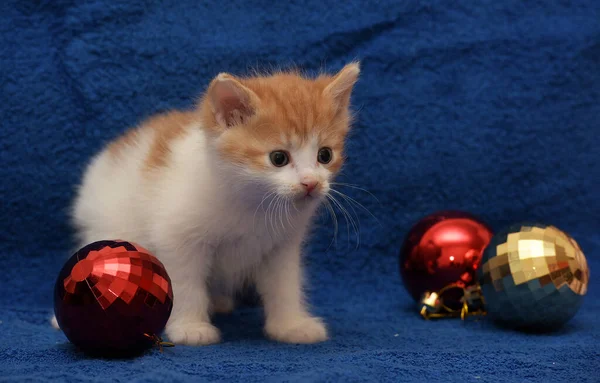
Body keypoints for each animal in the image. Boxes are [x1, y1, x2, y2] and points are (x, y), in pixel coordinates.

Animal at [50, 62, 360, 344]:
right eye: (278, 158)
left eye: (325, 155)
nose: (311, 183)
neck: (253, 202)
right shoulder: (178, 238)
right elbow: (185, 282)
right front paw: (190, 327)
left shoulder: (282, 246)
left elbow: (284, 284)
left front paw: (290, 326)